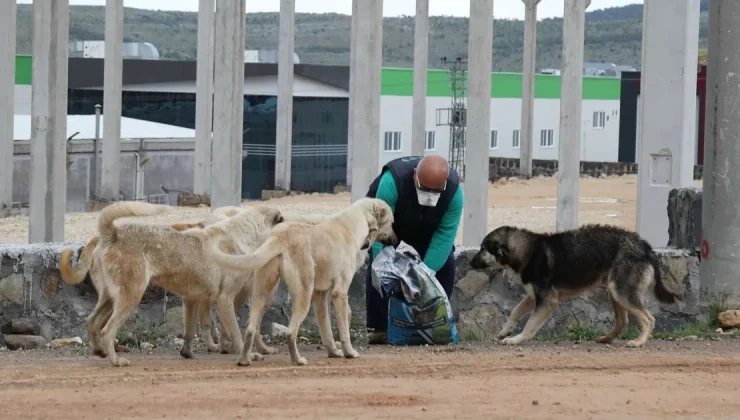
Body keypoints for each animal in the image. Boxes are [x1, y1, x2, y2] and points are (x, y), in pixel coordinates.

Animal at [202, 199, 398, 366]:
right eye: (392, 222)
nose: (396, 241)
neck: (350, 225)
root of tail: (279, 237)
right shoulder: (339, 294)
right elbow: (344, 330)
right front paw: (349, 352)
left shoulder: (320, 297)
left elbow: (326, 329)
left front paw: (333, 351)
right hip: (303, 294)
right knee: (290, 332)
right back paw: (297, 360)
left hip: (263, 293)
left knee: (251, 328)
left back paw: (244, 359)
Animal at [472, 225, 680, 346]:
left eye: (482, 249)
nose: (470, 264)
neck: (527, 251)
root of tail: (645, 247)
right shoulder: (532, 297)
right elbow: (514, 312)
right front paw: (504, 332)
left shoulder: (547, 301)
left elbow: (530, 324)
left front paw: (516, 339)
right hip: (614, 292)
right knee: (622, 321)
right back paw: (606, 339)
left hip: (621, 292)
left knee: (648, 319)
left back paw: (638, 342)